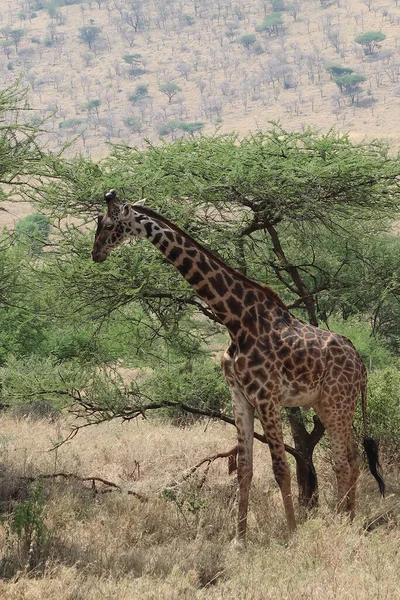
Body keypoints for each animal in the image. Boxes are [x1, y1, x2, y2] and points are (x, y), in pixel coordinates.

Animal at [90, 190, 384, 540]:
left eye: (109, 224)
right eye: (97, 223)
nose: (95, 254)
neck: (235, 320)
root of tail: (361, 365)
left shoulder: (267, 397)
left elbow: (280, 468)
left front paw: (291, 534)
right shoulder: (240, 397)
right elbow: (244, 470)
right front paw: (238, 539)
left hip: (339, 402)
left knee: (345, 461)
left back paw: (343, 525)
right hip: (325, 404)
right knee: (350, 458)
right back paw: (347, 521)